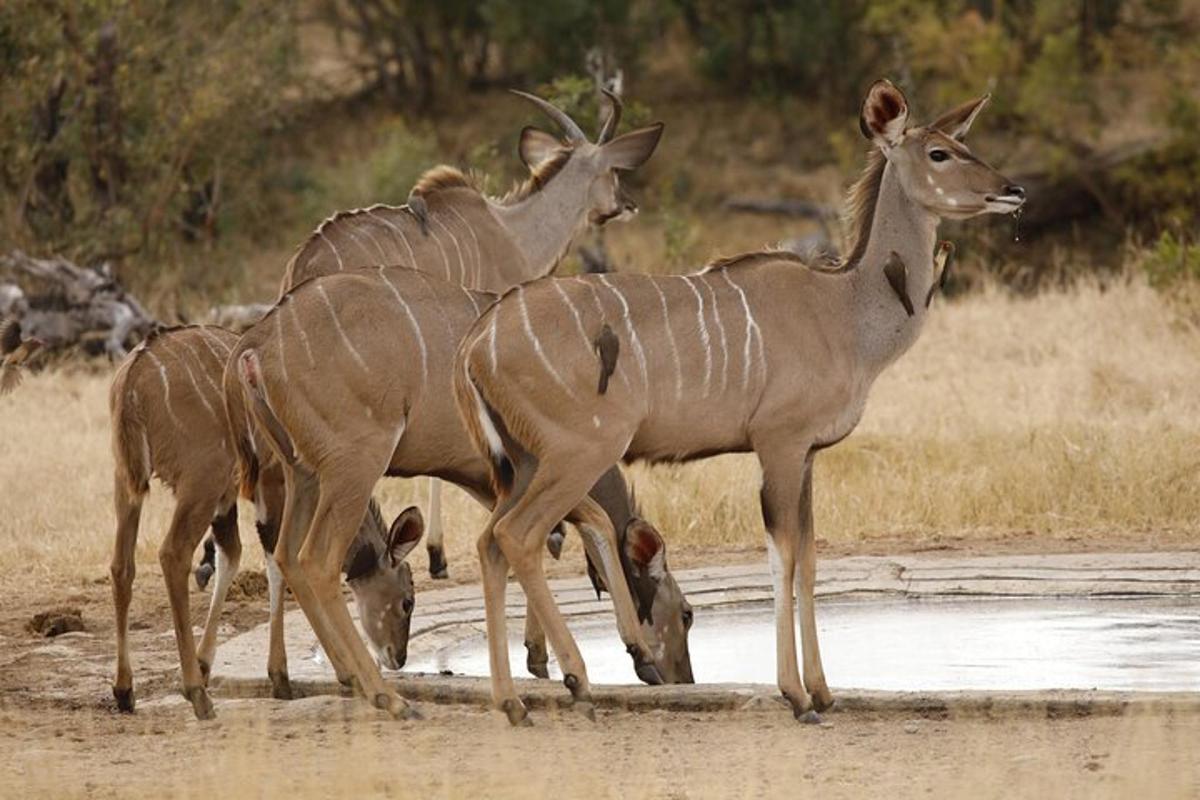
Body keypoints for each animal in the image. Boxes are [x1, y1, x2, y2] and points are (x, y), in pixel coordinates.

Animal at [109, 326, 427, 719]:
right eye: (407, 601)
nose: (398, 657)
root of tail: (135, 374)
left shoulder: (234, 498)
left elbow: (235, 558)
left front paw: (206, 663)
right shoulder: (274, 488)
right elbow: (281, 563)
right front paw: (303, 674)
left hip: (129, 482)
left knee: (122, 566)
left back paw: (125, 690)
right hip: (200, 482)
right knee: (172, 555)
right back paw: (198, 695)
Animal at [453, 81, 1027, 724]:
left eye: (965, 144)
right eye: (939, 154)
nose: (1012, 190)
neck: (844, 312)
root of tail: (476, 342)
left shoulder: (807, 455)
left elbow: (809, 559)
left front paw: (824, 690)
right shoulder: (779, 445)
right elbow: (782, 557)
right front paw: (796, 696)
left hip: (525, 464)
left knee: (489, 541)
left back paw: (512, 702)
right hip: (577, 454)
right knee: (517, 536)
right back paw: (576, 681)